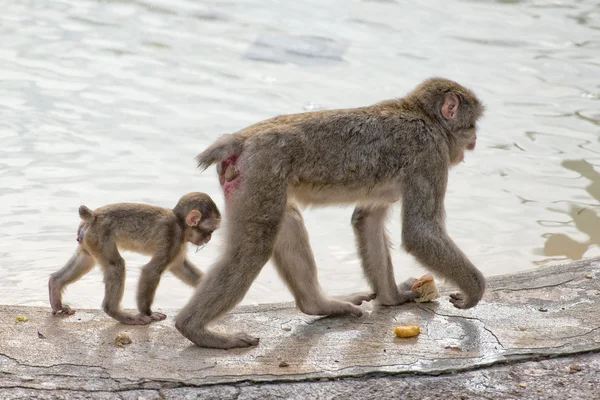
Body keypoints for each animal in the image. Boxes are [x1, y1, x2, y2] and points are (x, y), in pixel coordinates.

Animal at [49, 193, 221, 324]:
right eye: (210, 230)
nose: (209, 238)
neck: (180, 223)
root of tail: (93, 216)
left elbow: (179, 266)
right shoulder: (173, 237)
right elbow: (151, 270)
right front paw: (148, 313)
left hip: (89, 239)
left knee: (86, 260)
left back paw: (55, 285)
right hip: (99, 237)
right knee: (116, 265)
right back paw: (118, 313)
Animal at [176, 77, 486, 346]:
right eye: (471, 124)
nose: (474, 141)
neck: (422, 115)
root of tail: (241, 139)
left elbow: (367, 219)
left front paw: (392, 297)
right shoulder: (430, 153)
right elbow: (420, 233)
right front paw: (474, 289)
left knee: (287, 220)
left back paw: (317, 304)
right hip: (261, 171)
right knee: (253, 248)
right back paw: (195, 329)